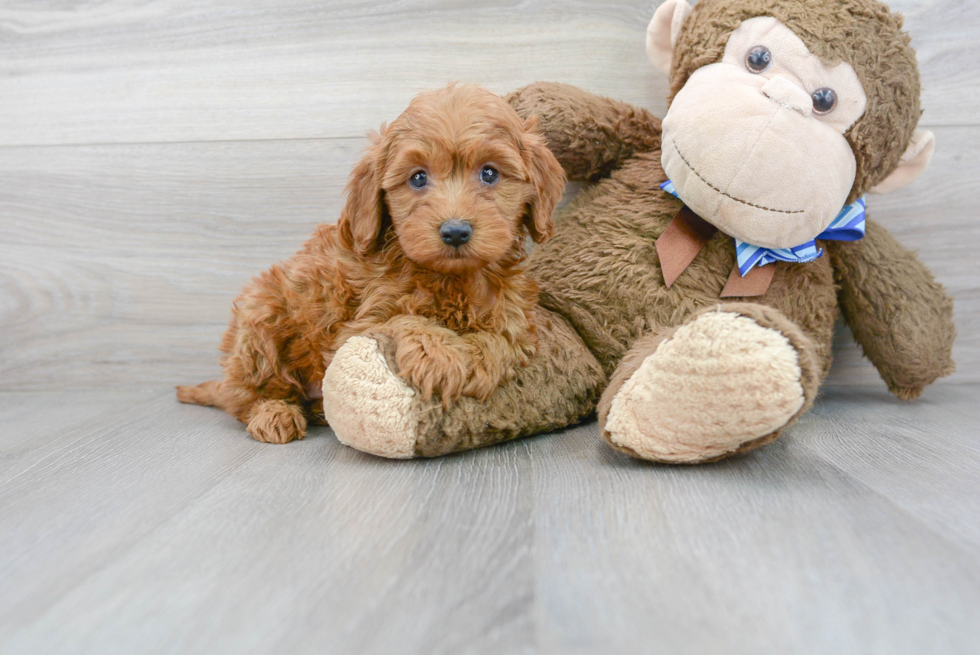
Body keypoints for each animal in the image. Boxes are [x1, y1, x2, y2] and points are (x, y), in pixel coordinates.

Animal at [176, 80, 568, 440]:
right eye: (418, 178)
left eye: (489, 173)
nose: (455, 232)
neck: (451, 278)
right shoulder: (356, 328)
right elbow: (404, 320)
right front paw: (439, 355)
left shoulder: (513, 317)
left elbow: (500, 342)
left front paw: (469, 360)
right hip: (261, 317)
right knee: (249, 394)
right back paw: (273, 413)